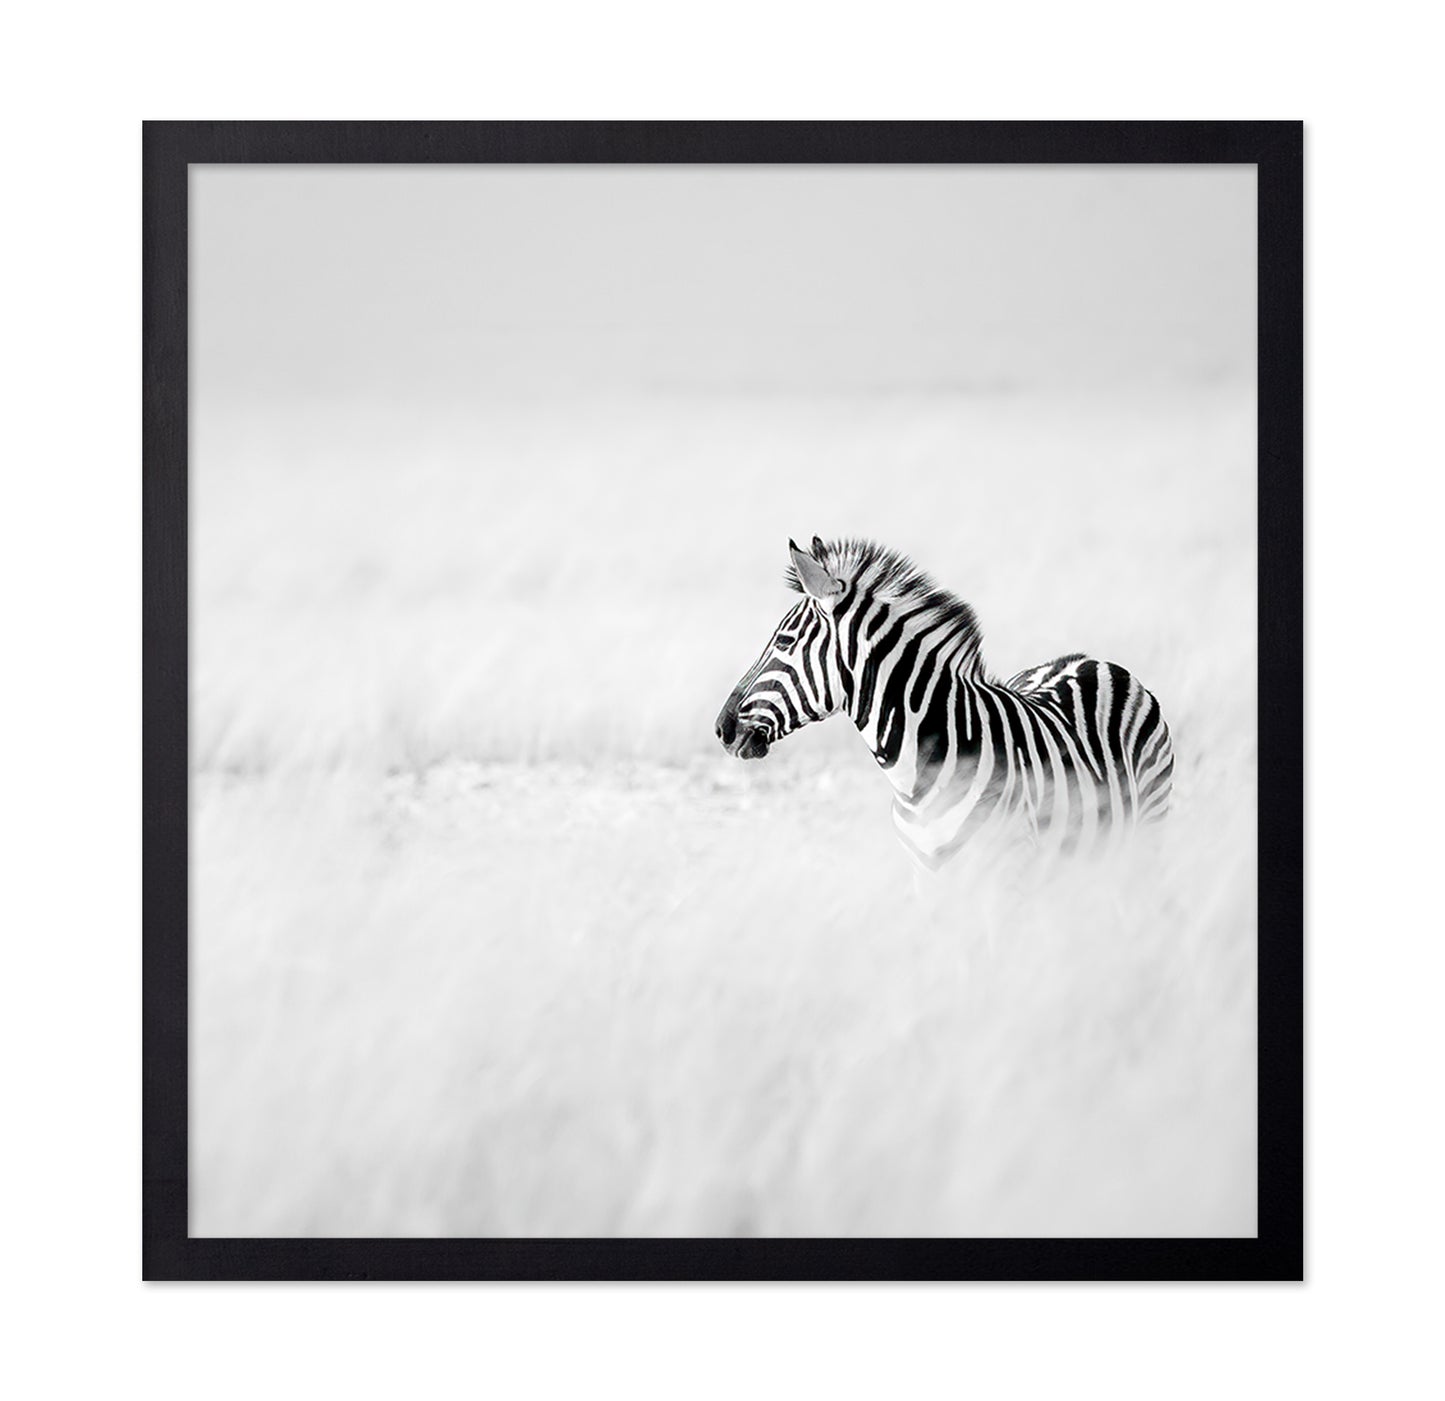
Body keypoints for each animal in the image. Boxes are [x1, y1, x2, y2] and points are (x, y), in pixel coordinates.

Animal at [714, 537, 1174, 869]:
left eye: (784, 642)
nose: (722, 729)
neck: (915, 778)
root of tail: (1088, 659)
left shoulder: (1010, 870)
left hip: (1150, 828)